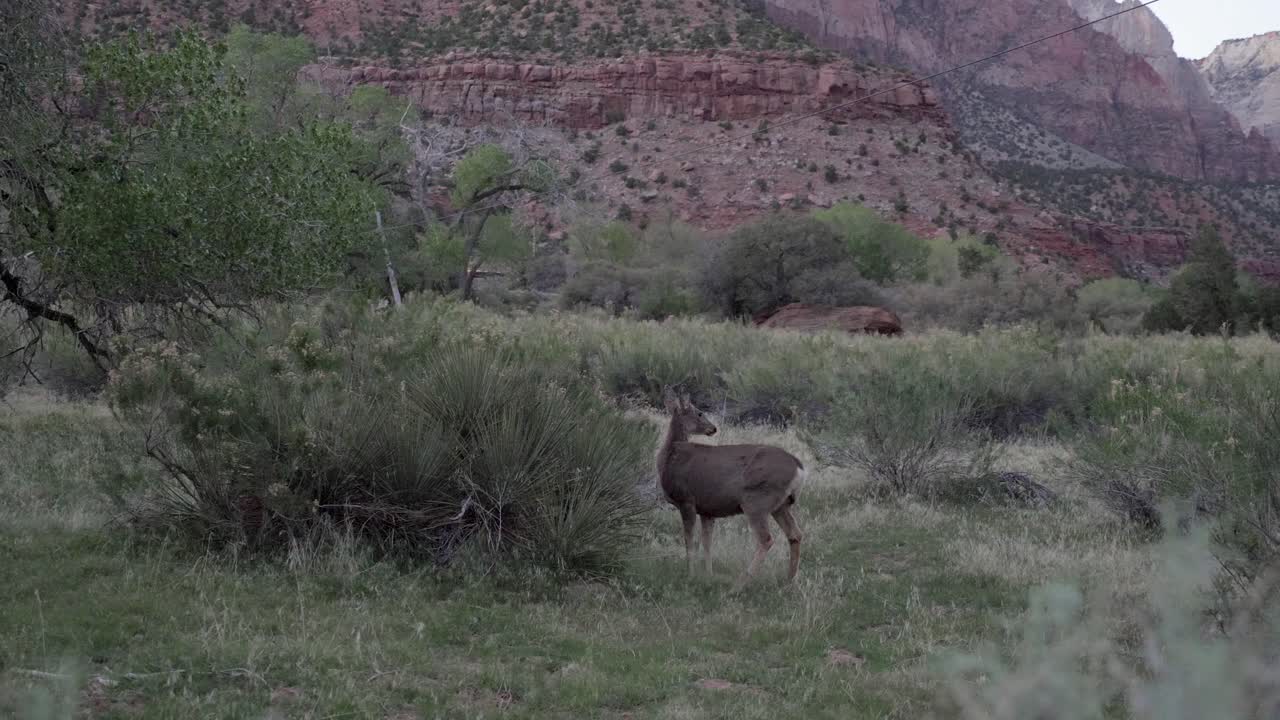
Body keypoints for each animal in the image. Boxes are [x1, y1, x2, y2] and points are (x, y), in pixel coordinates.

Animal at [655, 388, 805, 590]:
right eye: (700, 413)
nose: (713, 428)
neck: (670, 456)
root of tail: (799, 466)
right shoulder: (707, 509)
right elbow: (707, 543)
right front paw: (708, 575)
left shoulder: (686, 501)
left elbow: (689, 541)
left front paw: (690, 575)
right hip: (781, 505)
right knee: (795, 535)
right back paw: (789, 581)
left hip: (756, 502)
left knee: (766, 539)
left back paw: (738, 585)